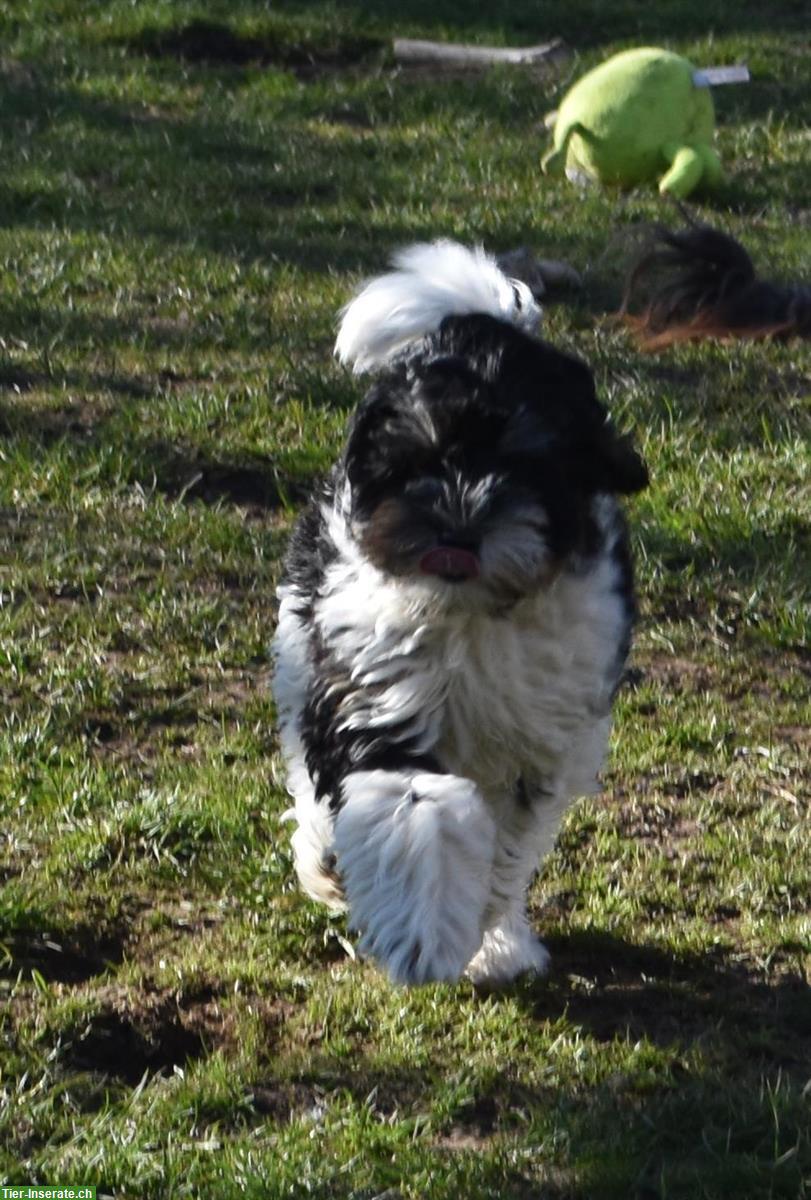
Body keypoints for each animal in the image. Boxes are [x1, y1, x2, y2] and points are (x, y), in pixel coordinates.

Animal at [272, 241, 647, 984]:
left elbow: (506, 852)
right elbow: (418, 809)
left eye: (528, 465)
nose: (458, 527)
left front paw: (487, 941)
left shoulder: (541, 750)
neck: (472, 611)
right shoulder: (377, 700)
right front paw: (422, 935)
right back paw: (323, 861)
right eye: (418, 458)